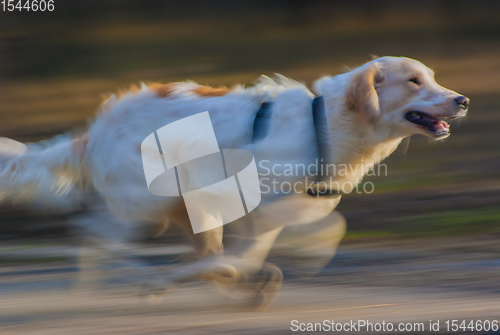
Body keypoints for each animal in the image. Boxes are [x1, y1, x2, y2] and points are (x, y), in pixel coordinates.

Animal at [0, 57, 468, 310]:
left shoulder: (264, 212)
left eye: (432, 78)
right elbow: (299, 239)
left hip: (181, 207)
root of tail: (95, 129)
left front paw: (247, 280)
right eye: (414, 81)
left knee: (189, 253)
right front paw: (251, 276)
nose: (462, 99)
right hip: (146, 205)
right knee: (97, 236)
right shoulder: (254, 202)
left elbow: (280, 245)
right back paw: (147, 280)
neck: (325, 124)